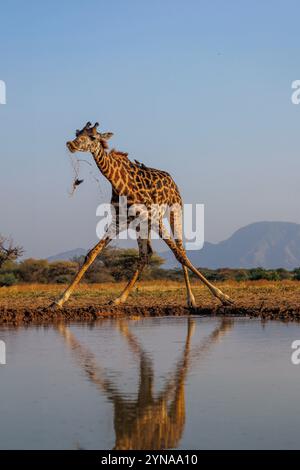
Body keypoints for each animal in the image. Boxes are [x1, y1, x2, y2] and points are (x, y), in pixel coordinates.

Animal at [52, 121, 233, 308]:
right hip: (141, 224)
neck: (119, 184)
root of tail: (171, 178)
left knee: (180, 249)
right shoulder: (119, 220)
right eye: (77, 133)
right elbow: (91, 254)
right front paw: (60, 299)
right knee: (145, 256)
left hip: (174, 210)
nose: (71, 144)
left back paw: (191, 299)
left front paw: (223, 296)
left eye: (93, 137)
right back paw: (119, 298)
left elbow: (178, 254)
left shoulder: (152, 217)